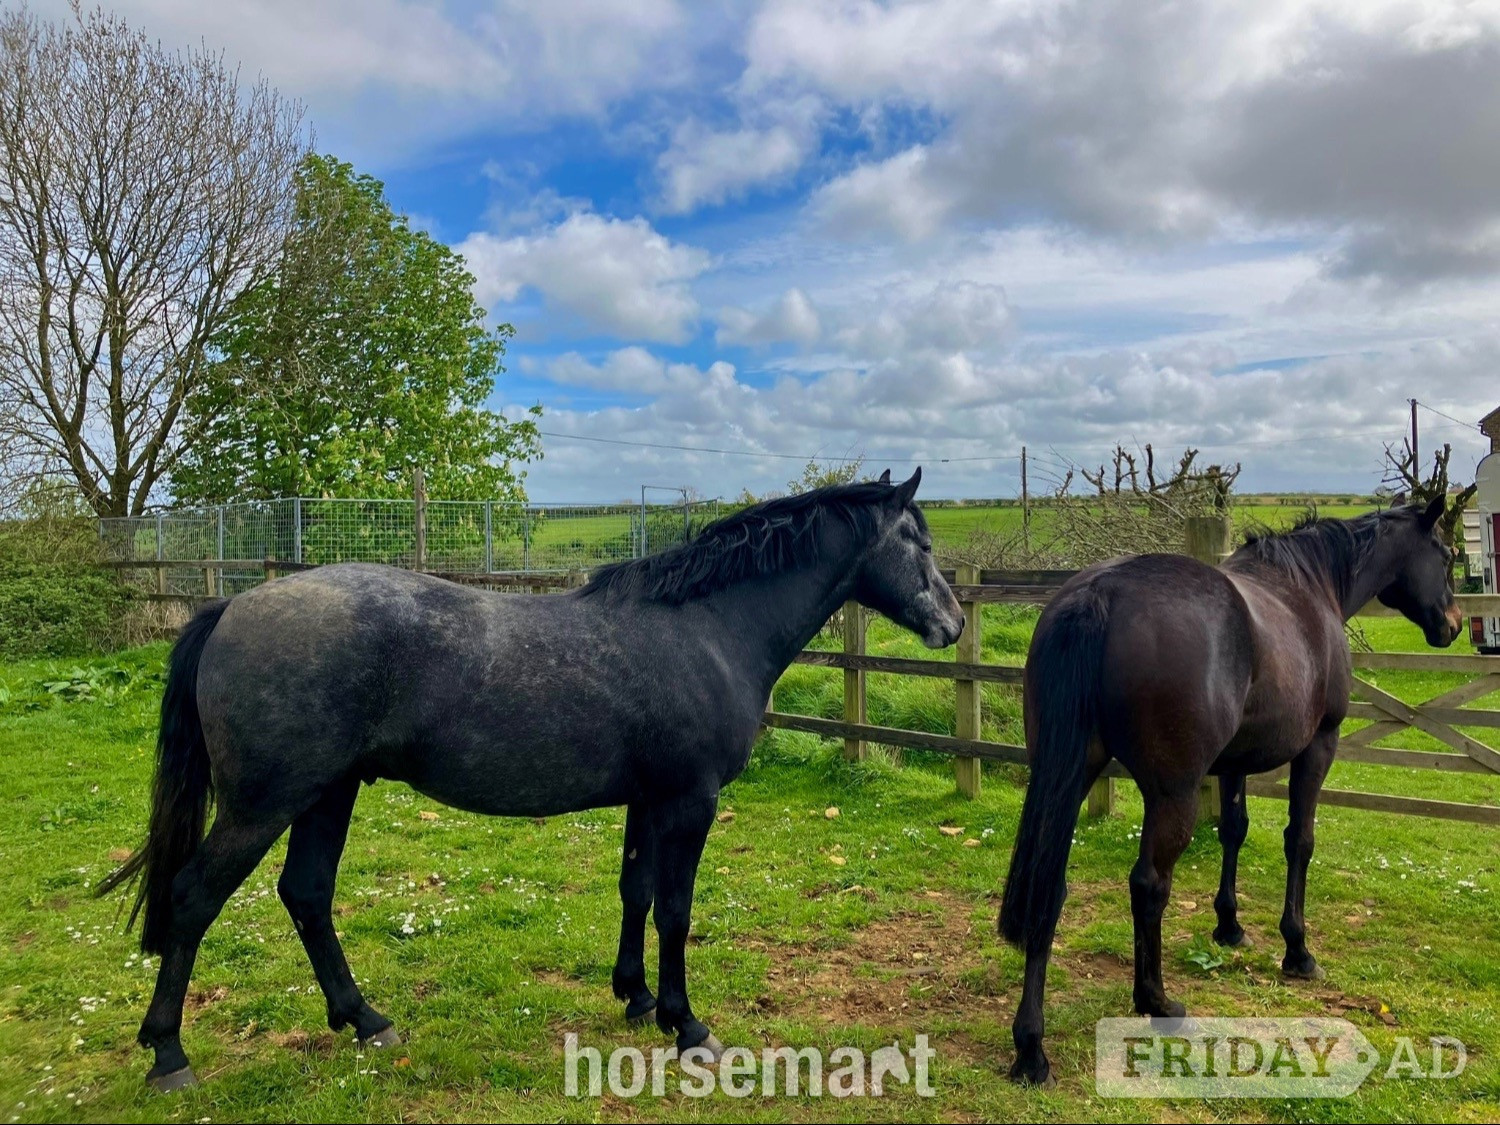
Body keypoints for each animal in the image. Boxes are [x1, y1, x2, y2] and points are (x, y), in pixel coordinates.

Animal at [98, 469, 964, 1091]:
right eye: (918, 541)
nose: (953, 622)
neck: (706, 627)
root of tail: (233, 606)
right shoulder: (689, 801)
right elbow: (676, 911)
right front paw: (687, 1025)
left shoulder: (647, 800)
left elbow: (636, 893)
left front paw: (635, 996)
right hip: (261, 805)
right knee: (193, 898)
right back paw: (169, 1054)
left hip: (325, 794)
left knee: (306, 895)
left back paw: (366, 1018)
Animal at [998, 497, 1461, 1086]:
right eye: (1445, 554)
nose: (1452, 625)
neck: (1309, 587)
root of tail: (1097, 594)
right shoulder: (1319, 747)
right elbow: (1299, 842)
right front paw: (1297, 950)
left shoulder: (1235, 762)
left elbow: (1233, 832)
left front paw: (1229, 925)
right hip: (1172, 794)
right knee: (1148, 885)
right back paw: (1156, 1003)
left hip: (1071, 774)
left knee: (1049, 889)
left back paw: (1031, 1048)